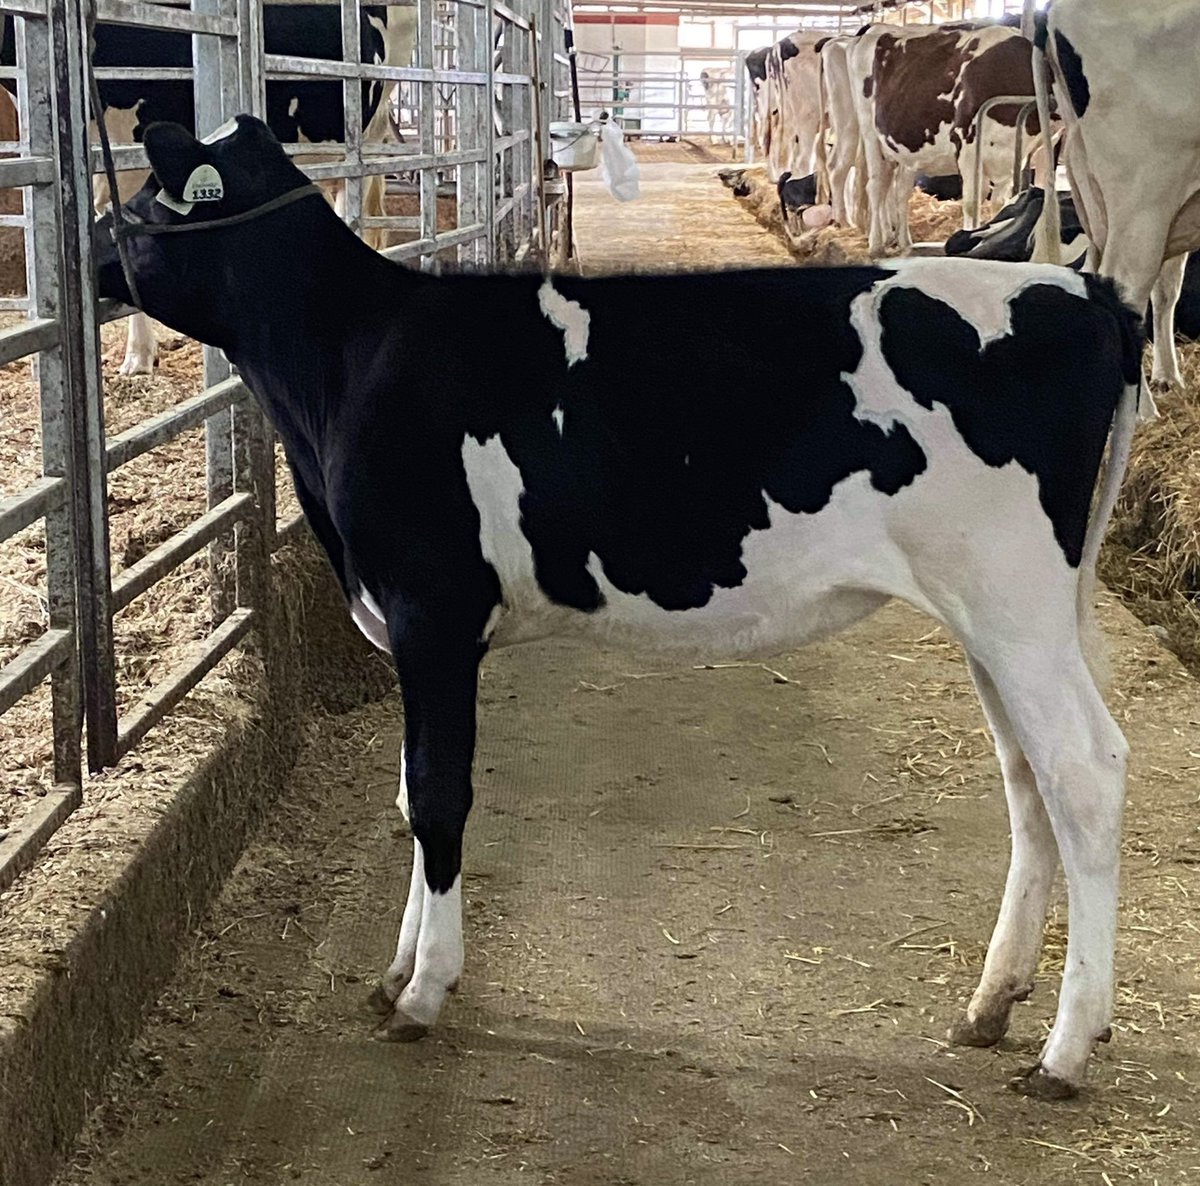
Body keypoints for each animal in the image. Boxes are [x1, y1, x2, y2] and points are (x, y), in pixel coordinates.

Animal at [95, 114, 1147, 1099]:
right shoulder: (410, 629)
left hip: (1015, 600)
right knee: (1028, 779)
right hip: (993, 618)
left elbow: (435, 795)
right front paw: (396, 968)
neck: (350, 358)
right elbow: (408, 793)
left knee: (1084, 772)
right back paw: (992, 1004)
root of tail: (1087, 296)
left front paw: (425, 988)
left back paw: (1066, 1047)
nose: (97, 246)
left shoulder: (432, 615)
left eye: (147, 194)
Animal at [850, 22, 1044, 257]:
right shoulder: (967, 144)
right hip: (870, 134)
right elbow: (972, 201)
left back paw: (902, 241)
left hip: (905, 147)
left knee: (899, 190)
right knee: (876, 186)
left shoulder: (1010, 153)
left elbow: (1000, 203)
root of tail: (876, 26)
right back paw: (876, 244)